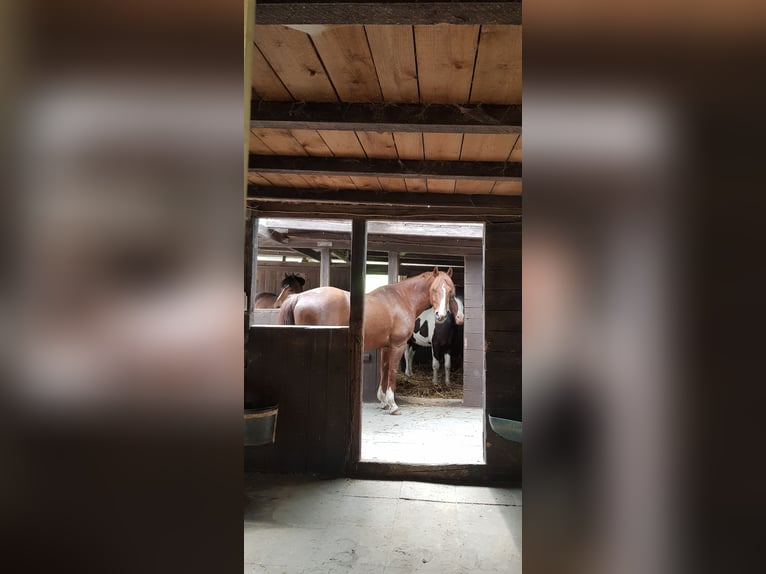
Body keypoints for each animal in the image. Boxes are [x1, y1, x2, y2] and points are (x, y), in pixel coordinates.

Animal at [280, 268, 460, 416]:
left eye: (451, 290)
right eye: (435, 289)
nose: (441, 316)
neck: (402, 299)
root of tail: (298, 297)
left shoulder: (385, 347)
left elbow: (384, 370)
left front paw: (383, 401)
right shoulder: (398, 346)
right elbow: (393, 371)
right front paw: (392, 404)